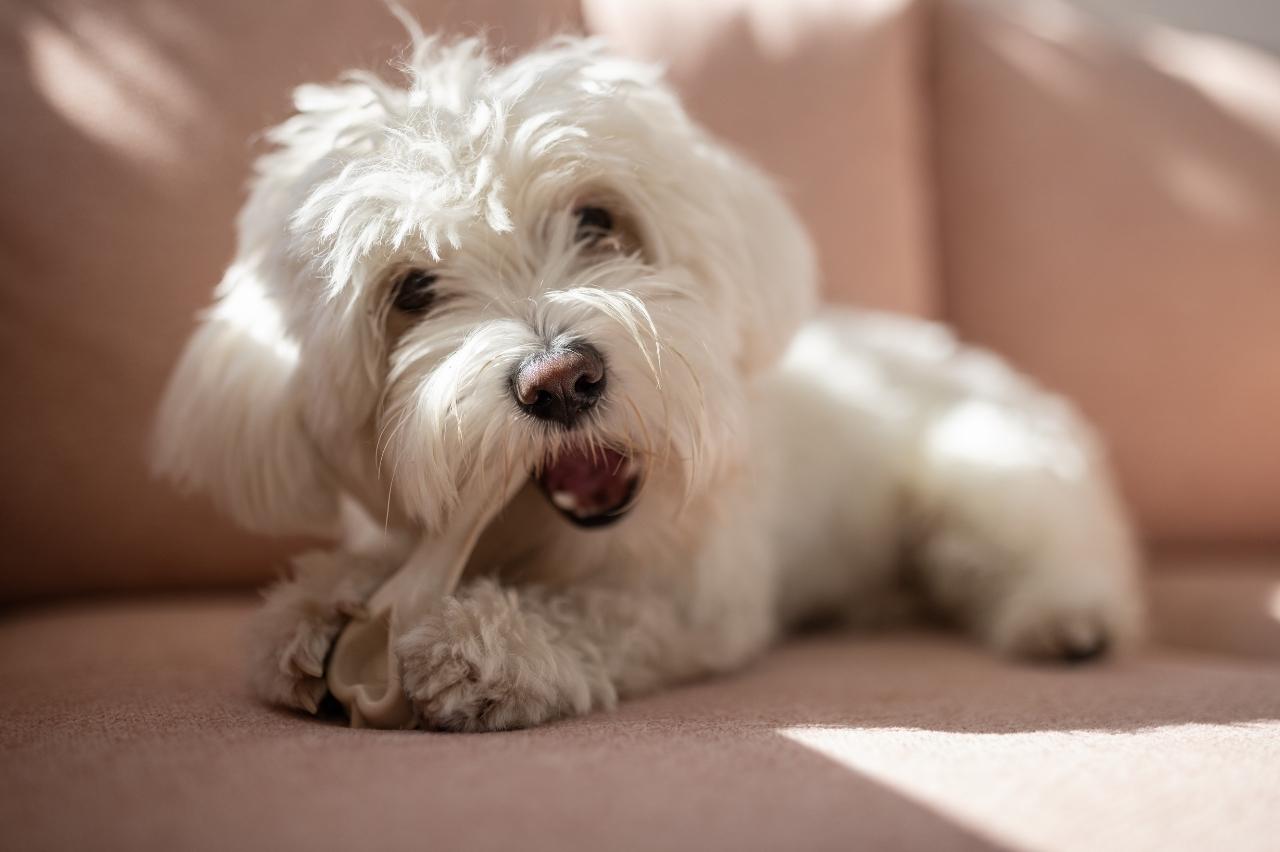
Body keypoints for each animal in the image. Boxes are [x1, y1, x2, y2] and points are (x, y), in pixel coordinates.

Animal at [149, 28, 1141, 731]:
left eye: (597, 219)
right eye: (414, 291)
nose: (559, 379)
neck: (536, 542)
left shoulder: (703, 597)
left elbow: (612, 617)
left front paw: (492, 645)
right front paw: (315, 607)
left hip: (986, 475)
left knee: (1060, 552)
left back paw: (1067, 618)